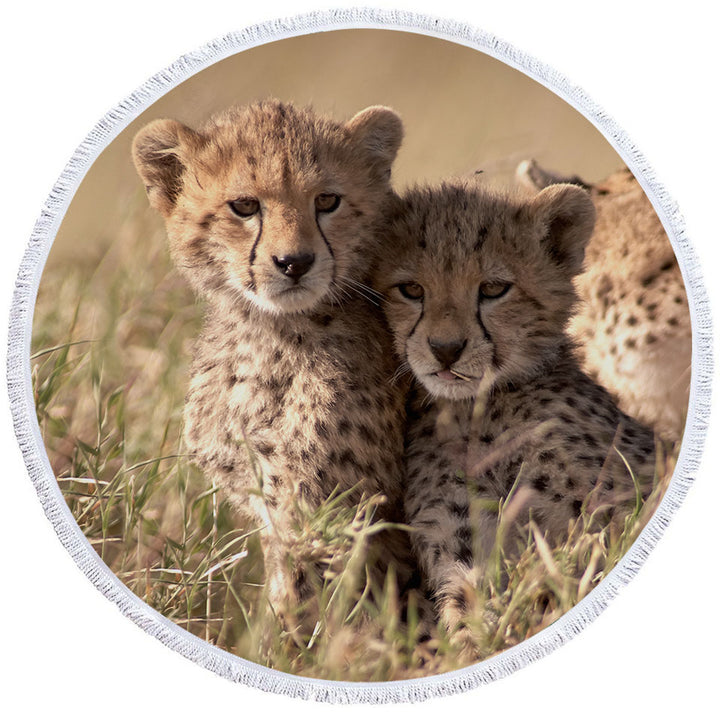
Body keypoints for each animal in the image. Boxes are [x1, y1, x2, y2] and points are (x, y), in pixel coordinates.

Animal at [131, 100, 413, 637]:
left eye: (328, 200)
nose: (294, 262)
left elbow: (314, 607)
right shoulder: (267, 497)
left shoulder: (328, 511)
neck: (267, 335)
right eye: (244, 206)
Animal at [373, 179, 661, 645]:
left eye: (493, 289)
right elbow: (467, 606)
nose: (446, 349)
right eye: (411, 290)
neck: (477, 412)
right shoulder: (461, 537)